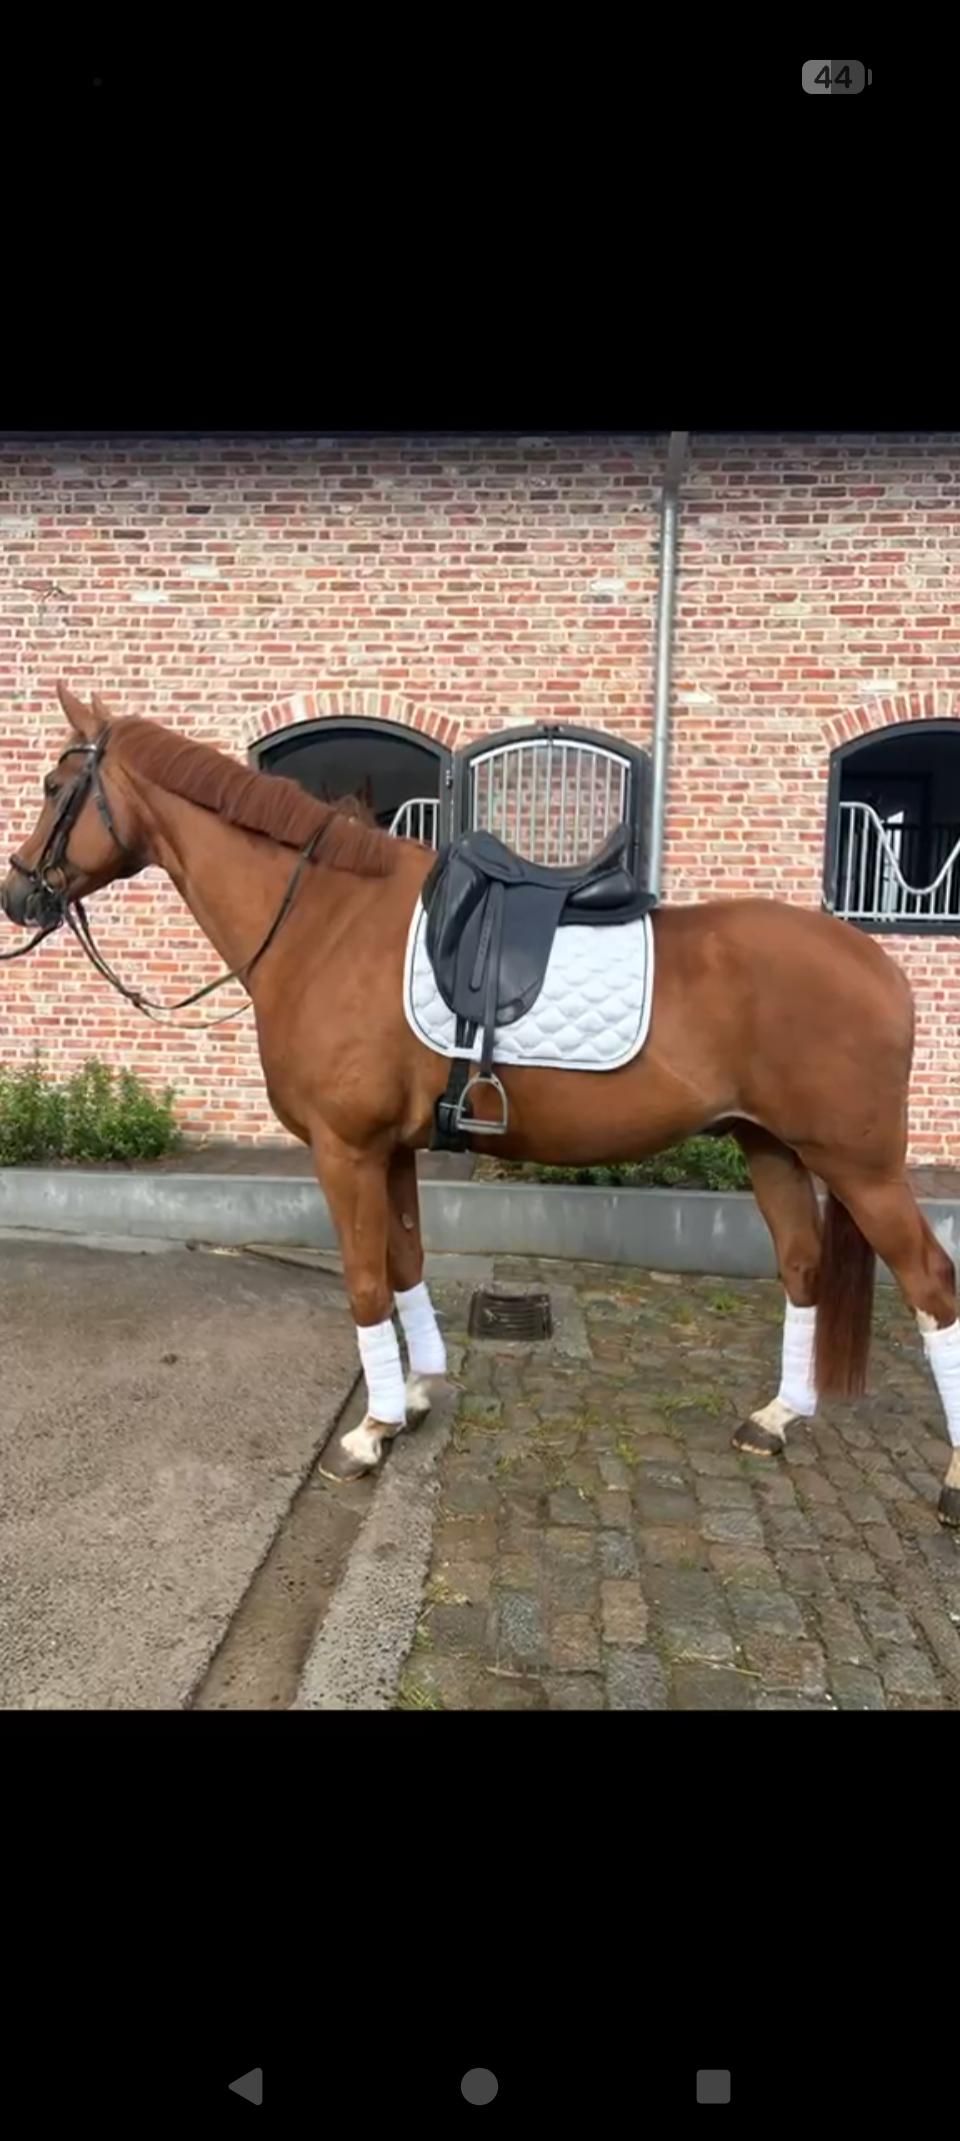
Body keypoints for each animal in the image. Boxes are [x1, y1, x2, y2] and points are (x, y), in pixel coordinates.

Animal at [3, 683, 959, 1529]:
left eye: (53, 786)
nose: (18, 893)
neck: (326, 923)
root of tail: (881, 965)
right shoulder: (391, 1149)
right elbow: (405, 1263)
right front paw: (420, 1391)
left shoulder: (345, 1148)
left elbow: (363, 1282)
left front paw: (371, 1429)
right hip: (770, 1148)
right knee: (802, 1267)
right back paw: (775, 1419)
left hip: (860, 1166)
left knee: (932, 1285)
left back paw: (948, 1484)